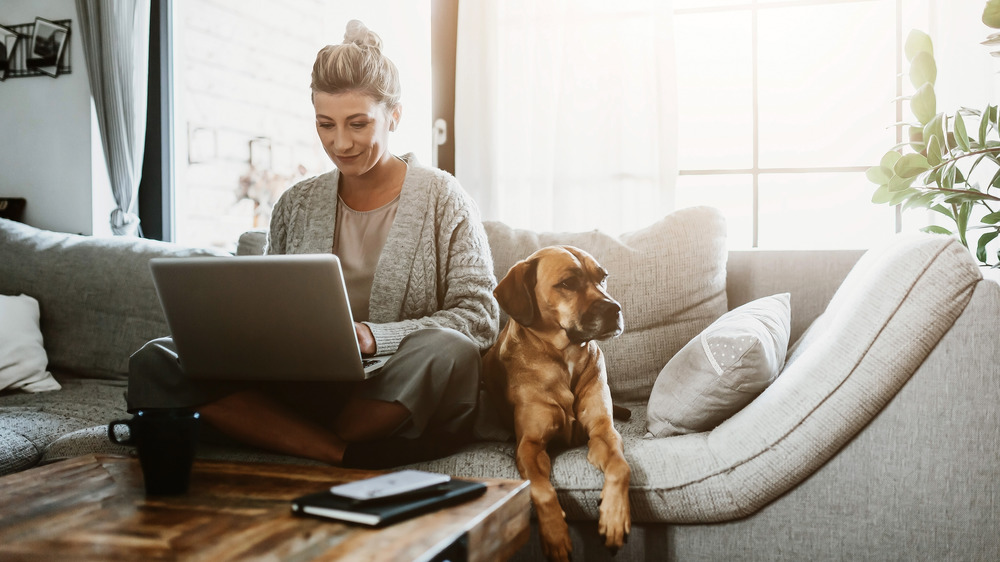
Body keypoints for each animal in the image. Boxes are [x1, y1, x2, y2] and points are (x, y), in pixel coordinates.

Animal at [480, 245, 628, 560]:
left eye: (603, 277)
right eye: (568, 283)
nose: (615, 309)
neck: (565, 357)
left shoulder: (603, 432)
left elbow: (621, 468)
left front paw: (614, 517)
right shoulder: (530, 446)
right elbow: (541, 489)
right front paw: (556, 535)